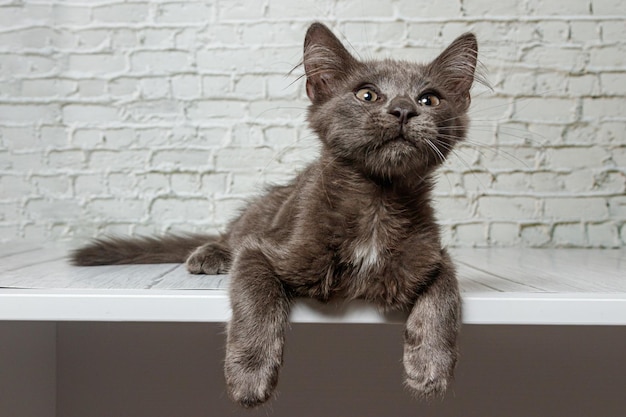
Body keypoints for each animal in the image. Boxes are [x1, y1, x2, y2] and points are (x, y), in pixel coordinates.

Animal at [72, 22, 478, 406]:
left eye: (430, 98)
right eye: (366, 94)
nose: (404, 110)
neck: (377, 203)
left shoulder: (432, 255)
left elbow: (446, 293)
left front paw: (430, 366)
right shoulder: (264, 249)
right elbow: (257, 296)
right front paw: (249, 375)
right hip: (265, 208)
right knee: (231, 236)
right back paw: (210, 254)